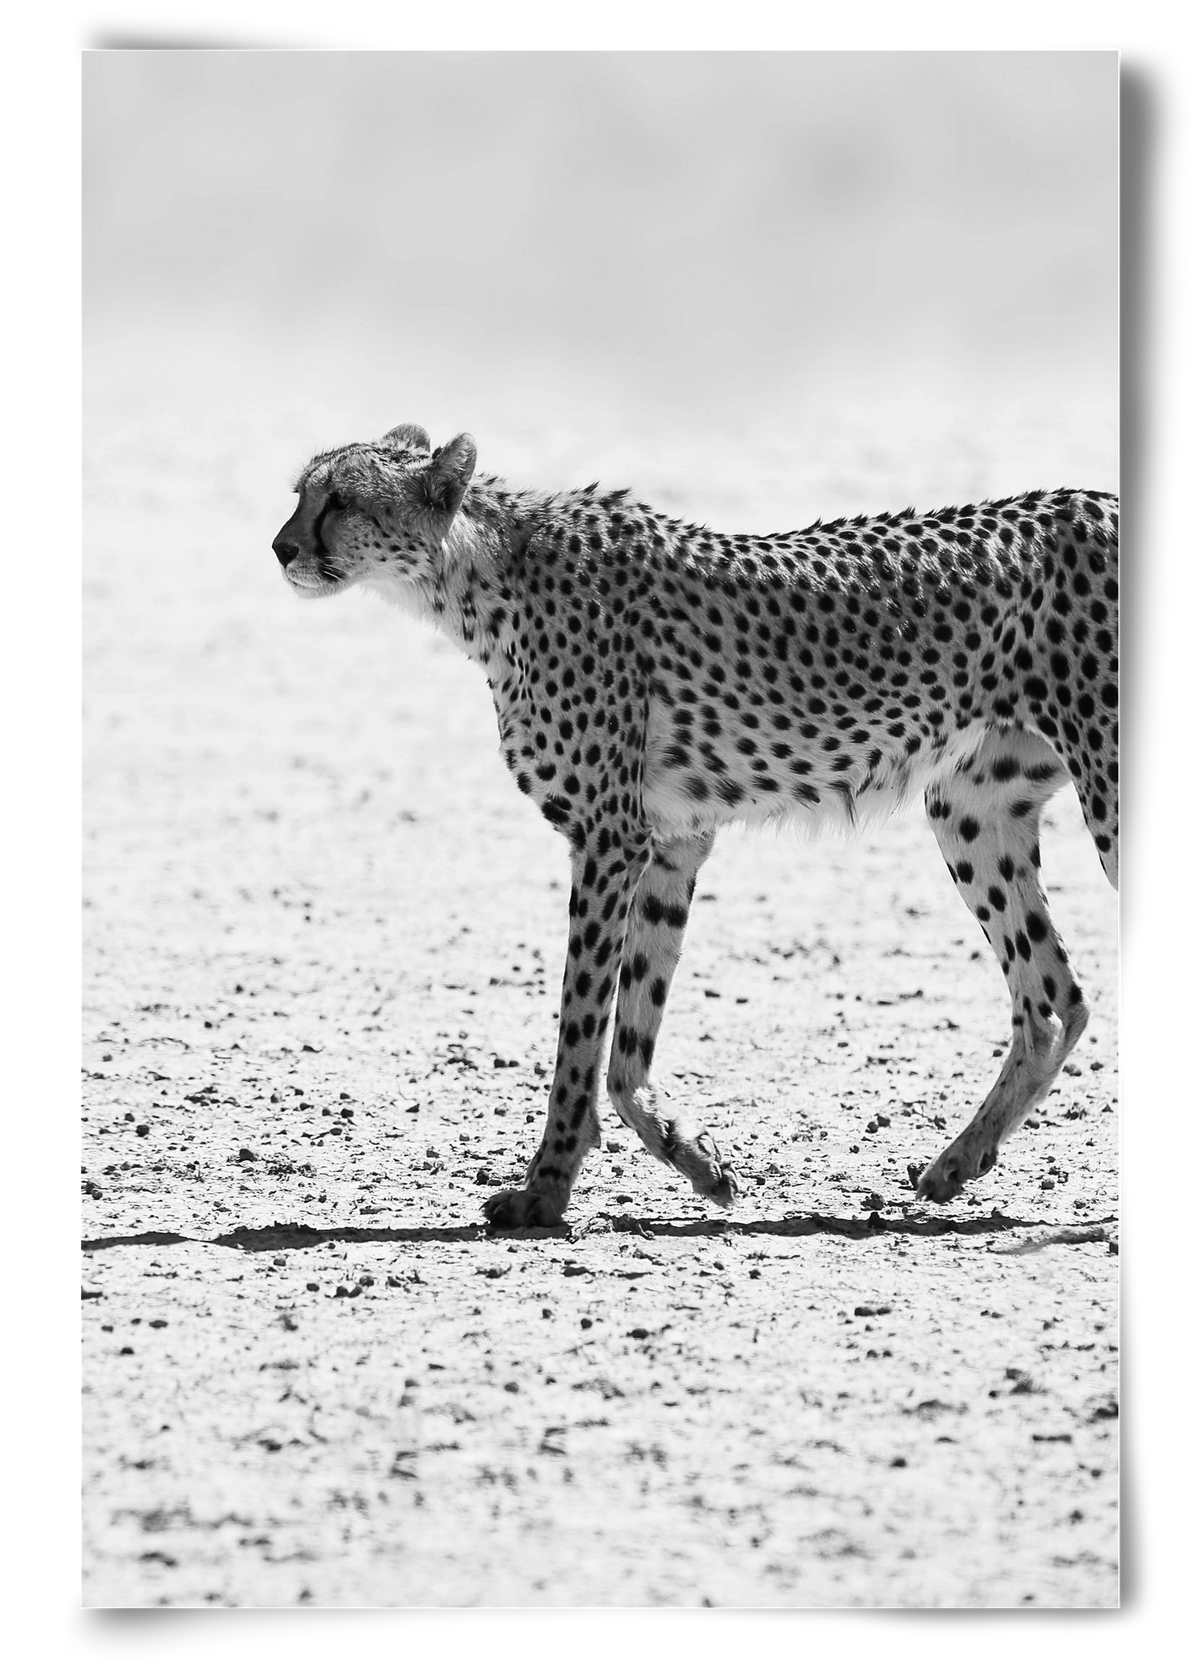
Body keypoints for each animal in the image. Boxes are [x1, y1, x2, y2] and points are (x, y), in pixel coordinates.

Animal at [273, 423, 1118, 1228]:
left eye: (341, 499)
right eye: (300, 493)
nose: (281, 547)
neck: (477, 574)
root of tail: (1095, 497)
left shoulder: (608, 838)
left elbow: (581, 1030)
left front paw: (544, 1191)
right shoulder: (672, 841)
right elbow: (628, 1043)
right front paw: (698, 1162)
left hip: (1102, 792)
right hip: (971, 809)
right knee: (1053, 999)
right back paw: (956, 1163)